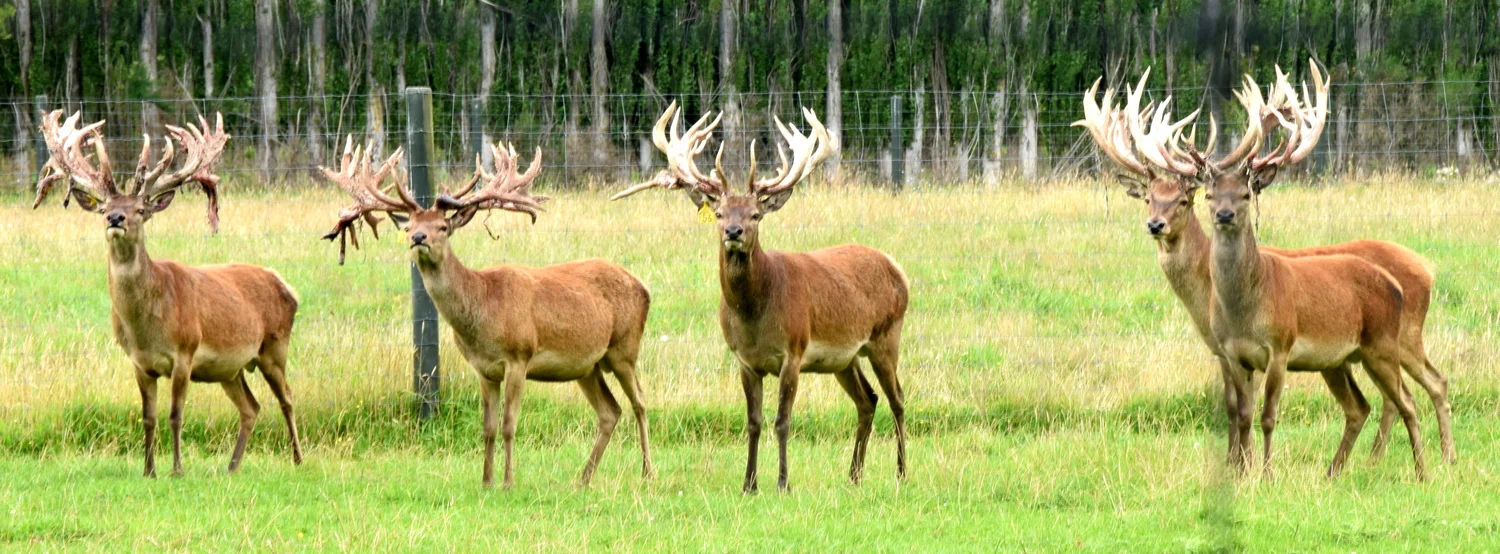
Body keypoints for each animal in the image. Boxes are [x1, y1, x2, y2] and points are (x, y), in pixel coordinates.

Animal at [32, 110, 303, 477]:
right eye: (104, 208)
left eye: (140, 209)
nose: (116, 218)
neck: (147, 326)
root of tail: (284, 283)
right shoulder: (139, 363)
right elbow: (148, 418)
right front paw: (148, 470)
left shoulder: (184, 353)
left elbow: (176, 415)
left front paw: (176, 469)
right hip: (230, 369)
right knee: (252, 406)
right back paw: (232, 467)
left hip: (275, 346)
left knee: (286, 398)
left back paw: (298, 458)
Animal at [319, 138, 654, 489]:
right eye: (409, 226)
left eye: (442, 226)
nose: (419, 238)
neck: (484, 312)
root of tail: (644, 287)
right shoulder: (483, 369)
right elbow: (488, 428)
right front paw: (486, 481)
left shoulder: (519, 357)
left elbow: (508, 425)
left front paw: (508, 482)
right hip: (587, 366)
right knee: (610, 411)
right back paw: (583, 479)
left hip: (624, 348)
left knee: (640, 402)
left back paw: (647, 472)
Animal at [612, 102, 910, 493]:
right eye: (719, 213)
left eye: (755, 214)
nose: (733, 232)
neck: (755, 315)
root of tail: (897, 268)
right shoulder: (744, 360)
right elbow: (753, 422)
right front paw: (749, 483)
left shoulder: (793, 352)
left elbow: (782, 420)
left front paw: (783, 482)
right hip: (844, 359)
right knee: (868, 400)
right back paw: (854, 475)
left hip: (886, 336)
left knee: (898, 399)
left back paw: (901, 472)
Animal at [1075, 64, 1454, 470]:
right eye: (1148, 198)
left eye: (1183, 200)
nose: (1155, 225)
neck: (1204, 294)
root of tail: (1427, 268)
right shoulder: (1227, 352)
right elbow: (1236, 409)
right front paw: (1238, 464)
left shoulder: (1248, 351)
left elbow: (1247, 410)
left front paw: (1246, 464)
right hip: (1348, 356)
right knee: (1382, 399)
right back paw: (1370, 463)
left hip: (1404, 336)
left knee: (1426, 385)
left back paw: (1434, 458)